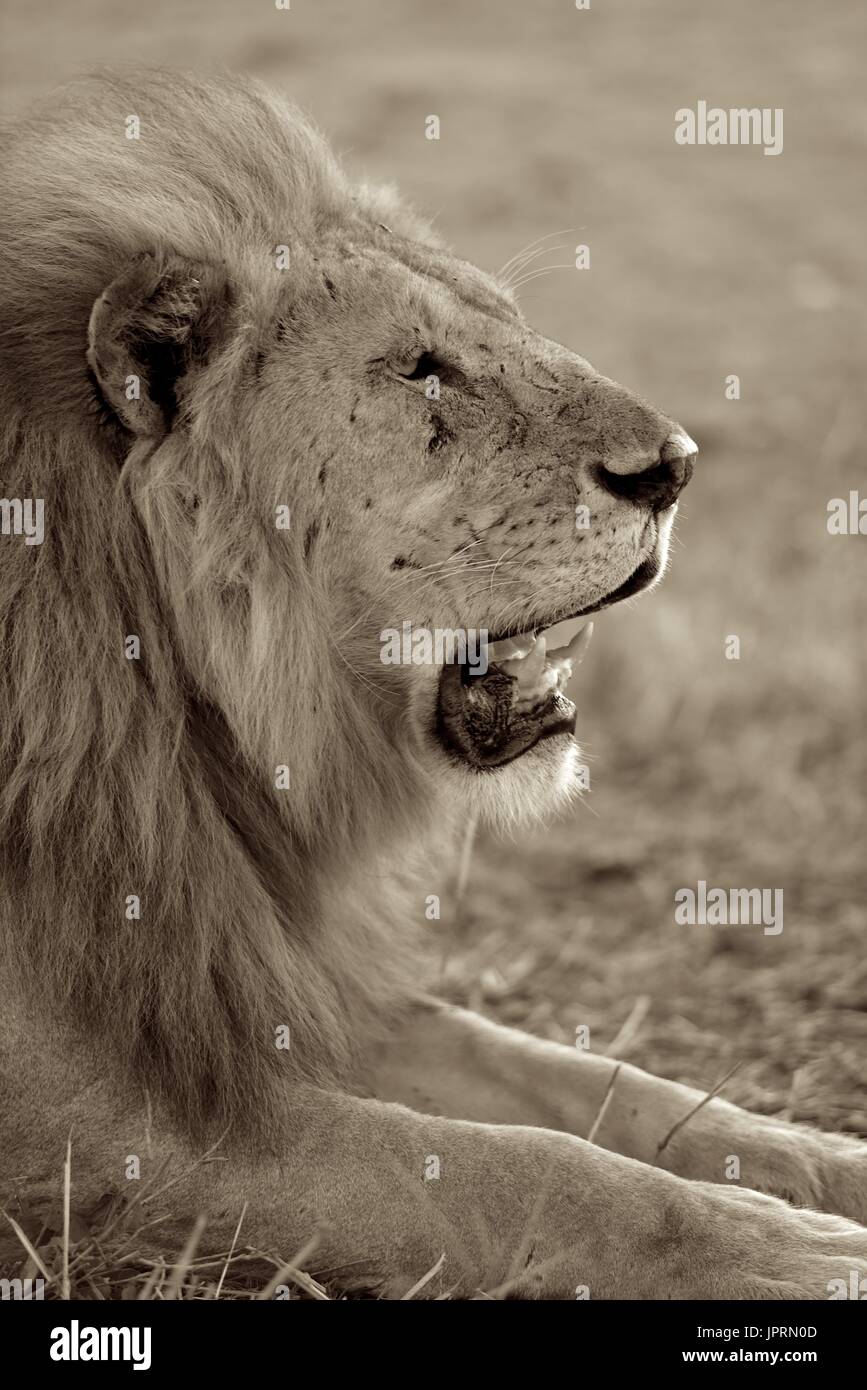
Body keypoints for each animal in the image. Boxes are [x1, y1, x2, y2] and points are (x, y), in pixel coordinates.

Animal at [0, 70, 861, 1295]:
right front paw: (784, 1253)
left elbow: (584, 1079)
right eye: (422, 370)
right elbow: (491, 1168)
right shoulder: (82, 1114)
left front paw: (821, 1165)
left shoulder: (255, 969)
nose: (677, 466)